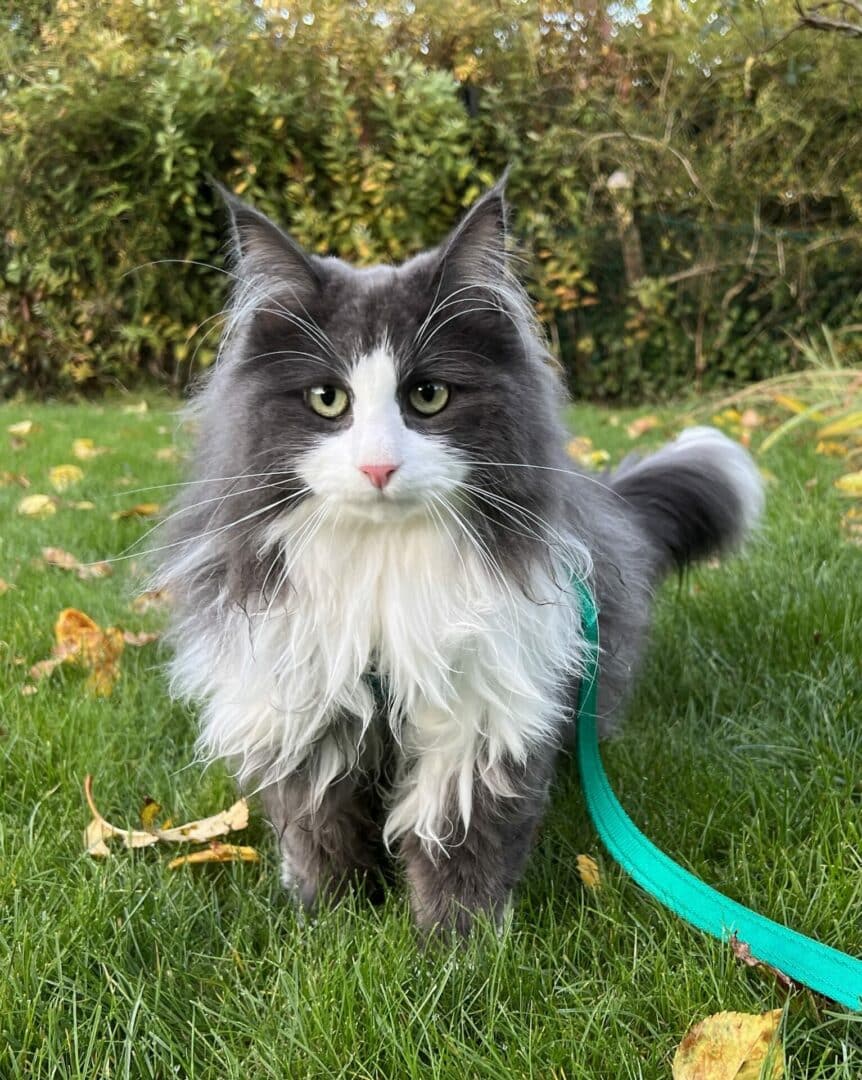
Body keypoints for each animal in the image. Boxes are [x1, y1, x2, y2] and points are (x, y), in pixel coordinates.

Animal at [153, 179, 764, 937]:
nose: (379, 467)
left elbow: (460, 839)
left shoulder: (483, 708)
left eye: (428, 396)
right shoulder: (307, 701)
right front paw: (331, 923)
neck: (384, 570)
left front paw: (459, 944)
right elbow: (319, 829)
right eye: (327, 399)